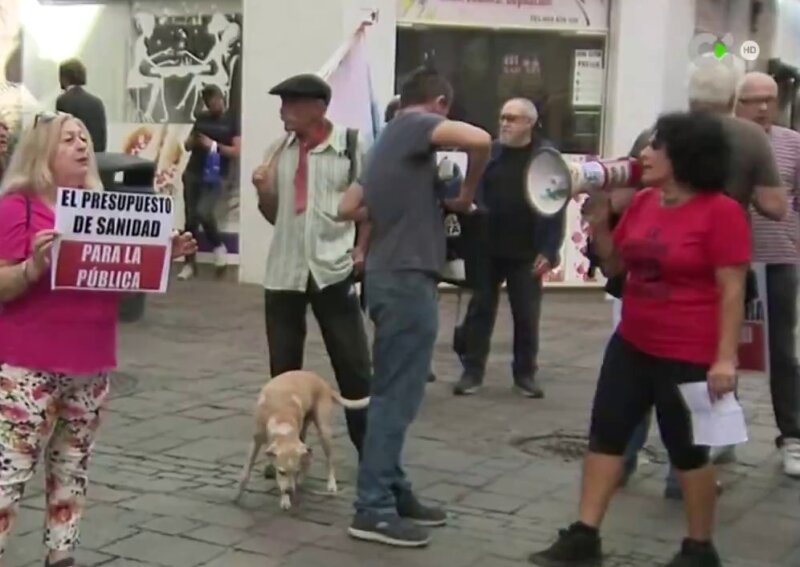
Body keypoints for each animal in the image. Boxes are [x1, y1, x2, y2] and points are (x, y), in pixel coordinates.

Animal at [231, 368, 368, 510]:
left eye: (294, 471)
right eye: (281, 472)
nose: (290, 491)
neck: (281, 418)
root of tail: (323, 382)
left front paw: (285, 499)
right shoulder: (255, 442)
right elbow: (246, 472)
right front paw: (237, 495)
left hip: (323, 430)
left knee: (329, 459)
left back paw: (330, 484)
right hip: (305, 429)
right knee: (310, 454)